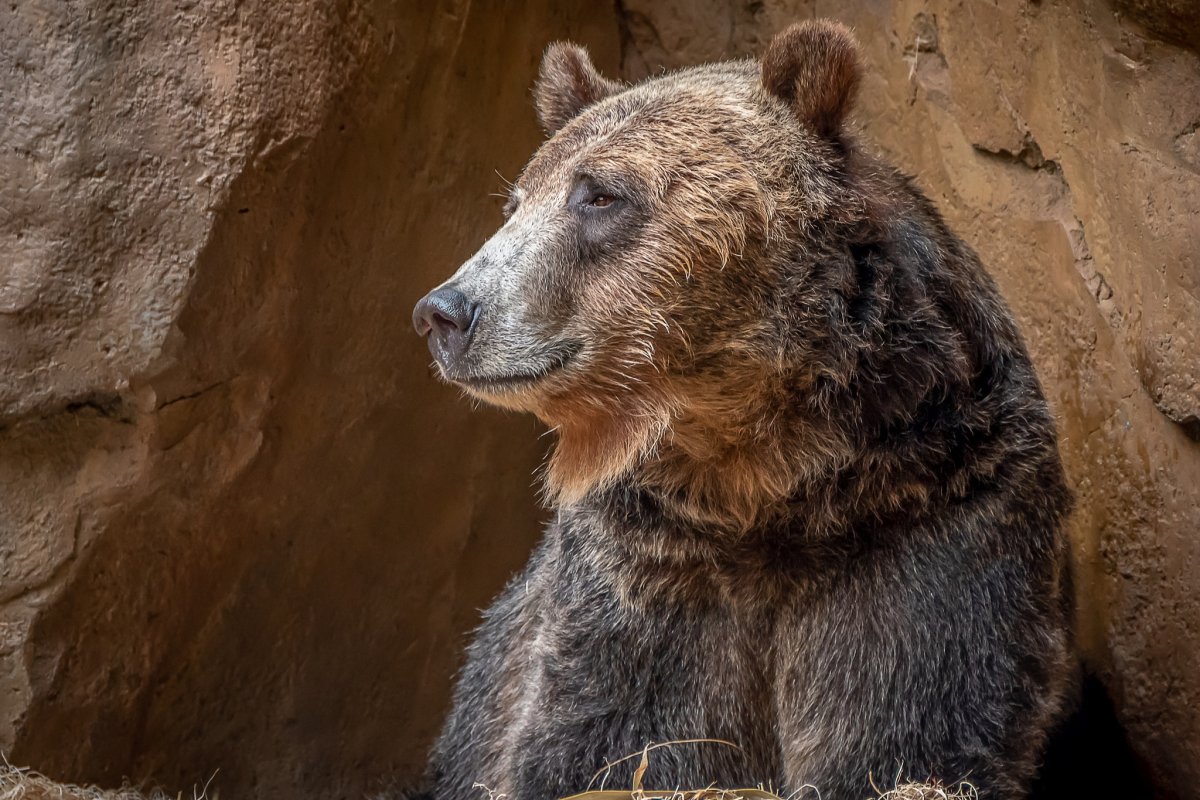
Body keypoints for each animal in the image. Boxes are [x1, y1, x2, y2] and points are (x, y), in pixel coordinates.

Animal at [412, 20, 1074, 800]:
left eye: (599, 195)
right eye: (516, 204)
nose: (446, 312)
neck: (764, 473)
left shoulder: (936, 508)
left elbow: (911, 724)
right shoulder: (647, 572)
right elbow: (610, 734)